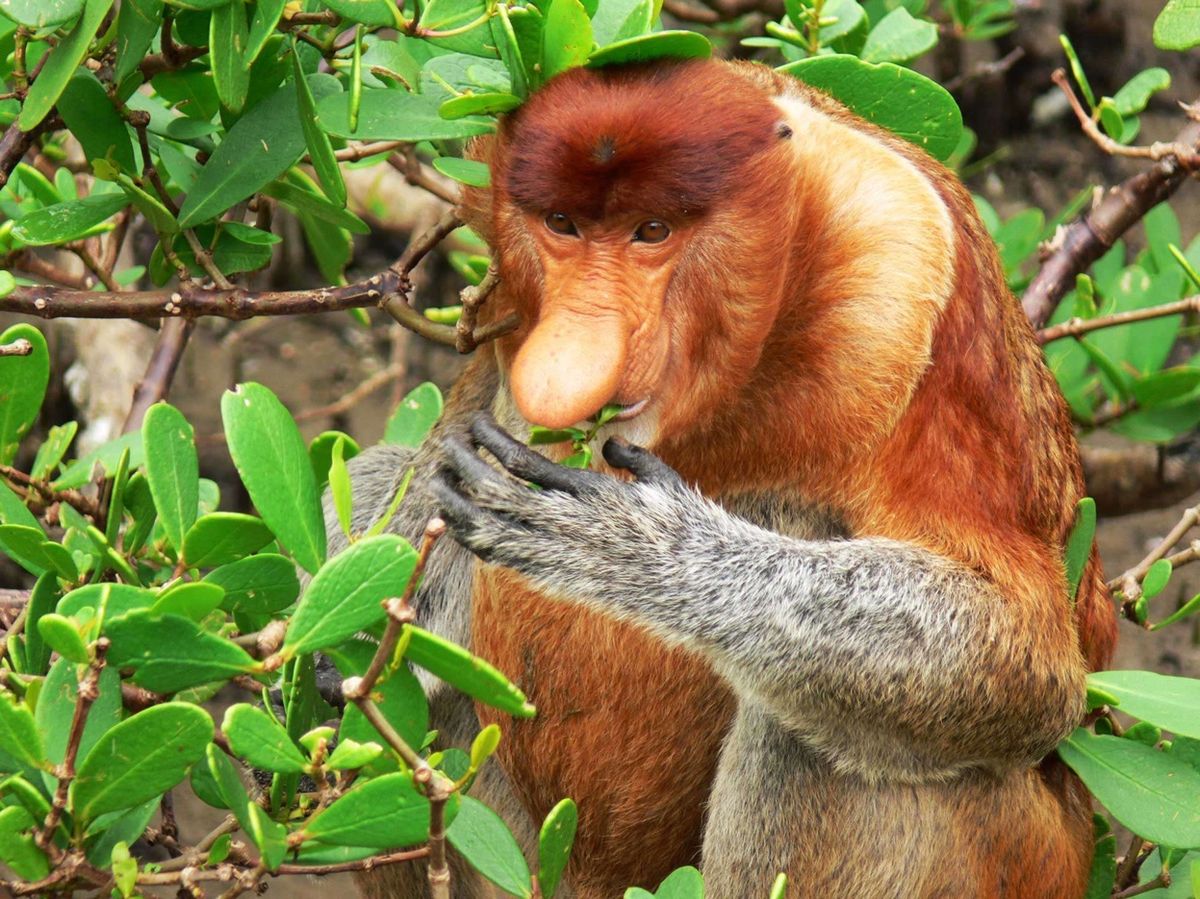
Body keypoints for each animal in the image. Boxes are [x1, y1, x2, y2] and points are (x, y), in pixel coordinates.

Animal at [340, 58, 1117, 898]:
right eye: (561, 224)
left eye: (653, 231)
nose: (572, 360)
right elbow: (439, 458)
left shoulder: (906, 273)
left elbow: (1020, 653)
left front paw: (636, 548)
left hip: (1025, 853)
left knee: (829, 733)